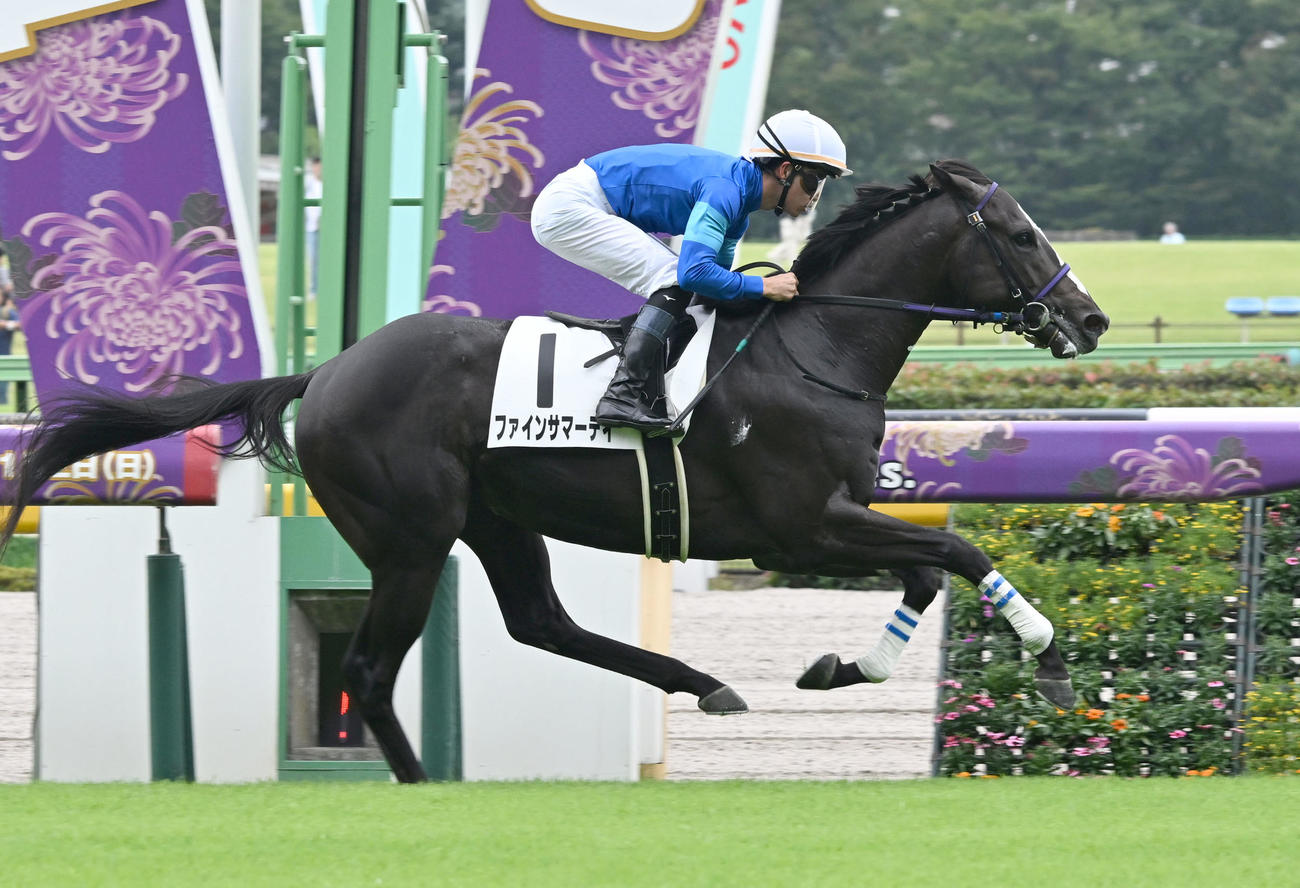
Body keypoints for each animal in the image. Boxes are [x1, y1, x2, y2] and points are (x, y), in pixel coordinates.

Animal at [2, 160, 1108, 783]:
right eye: (1019, 235)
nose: (1089, 317)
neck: (815, 346)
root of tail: (326, 371)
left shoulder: (832, 521)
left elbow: (926, 570)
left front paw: (844, 667)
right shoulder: (800, 526)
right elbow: (960, 554)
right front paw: (1050, 659)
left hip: (496, 518)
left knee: (541, 621)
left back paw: (702, 684)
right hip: (412, 536)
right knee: (369, 670)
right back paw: (424, 786)